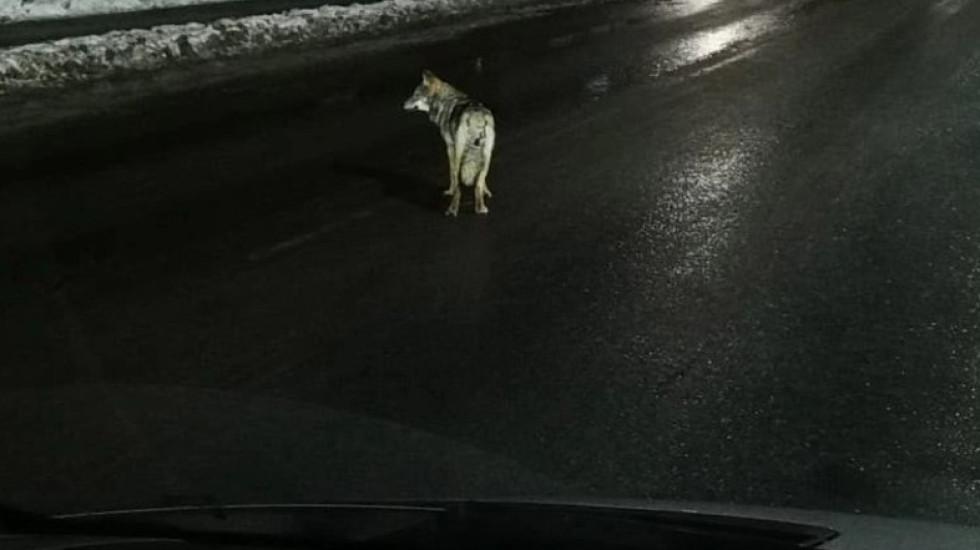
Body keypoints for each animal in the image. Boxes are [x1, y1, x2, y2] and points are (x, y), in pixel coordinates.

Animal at [402, 69, 494, 216]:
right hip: (487, 155)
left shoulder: (450, 147)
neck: (445, 101)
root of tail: (476, 116)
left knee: (458, 186)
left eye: (416, 95)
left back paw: (452, 209)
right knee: (478, 182)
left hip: (459, 154)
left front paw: (450, 191)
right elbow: (482, 180)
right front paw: (486, 192)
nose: (402, 105)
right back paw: (480, 208)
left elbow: (452, 174)